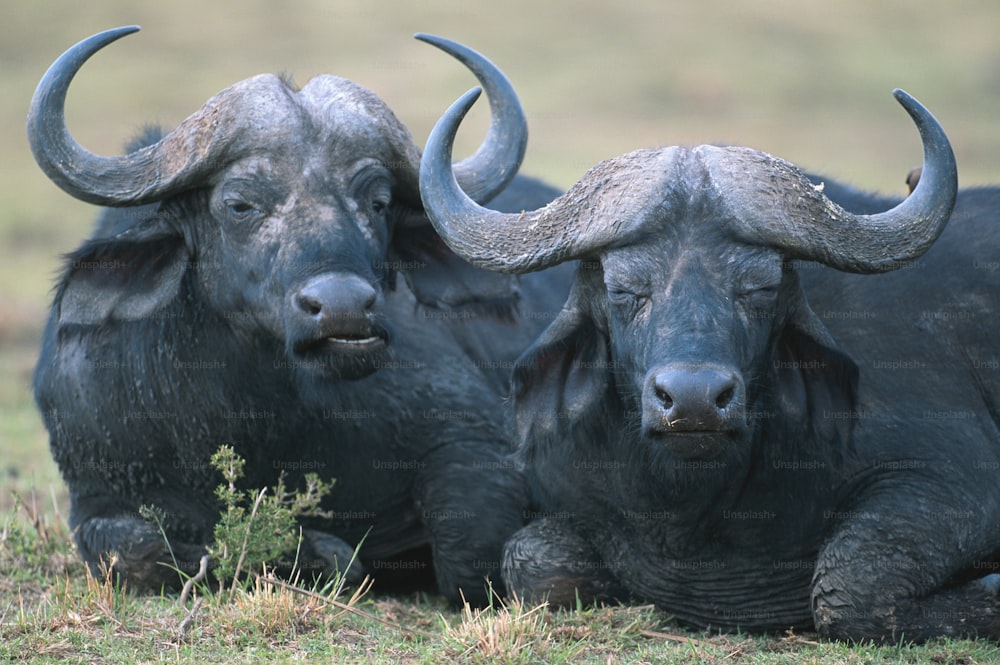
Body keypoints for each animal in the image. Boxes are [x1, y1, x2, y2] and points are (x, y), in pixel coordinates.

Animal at [31, 28, 572, 604]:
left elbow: (471, 559)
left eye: (378, 201)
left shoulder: (474, 443)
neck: (257, 421)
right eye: (240, 204)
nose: (342, 306)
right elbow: (132, 550)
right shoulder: (95, 493)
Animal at [416, 85, 1000, 640]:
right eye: (623, 288)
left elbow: (855, 583)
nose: (693, 399)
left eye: (760, 288)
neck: (690, 511)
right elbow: (531, 561)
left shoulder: (952, 480)